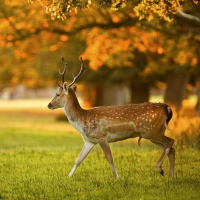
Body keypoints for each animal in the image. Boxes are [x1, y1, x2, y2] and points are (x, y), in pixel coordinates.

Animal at [47, 57, 175, 179]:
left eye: (57, 94)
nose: (49, 105)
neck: (82, 120)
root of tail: (167, 108)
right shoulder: (89, 141)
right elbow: (78, 159)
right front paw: (67, 177)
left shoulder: (101, 136)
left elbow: (109, 158)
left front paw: (117, 177)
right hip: (153, 132)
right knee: (171, 149)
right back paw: (171, 177)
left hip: (150, 130)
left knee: (170, 142)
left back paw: (160, 169)